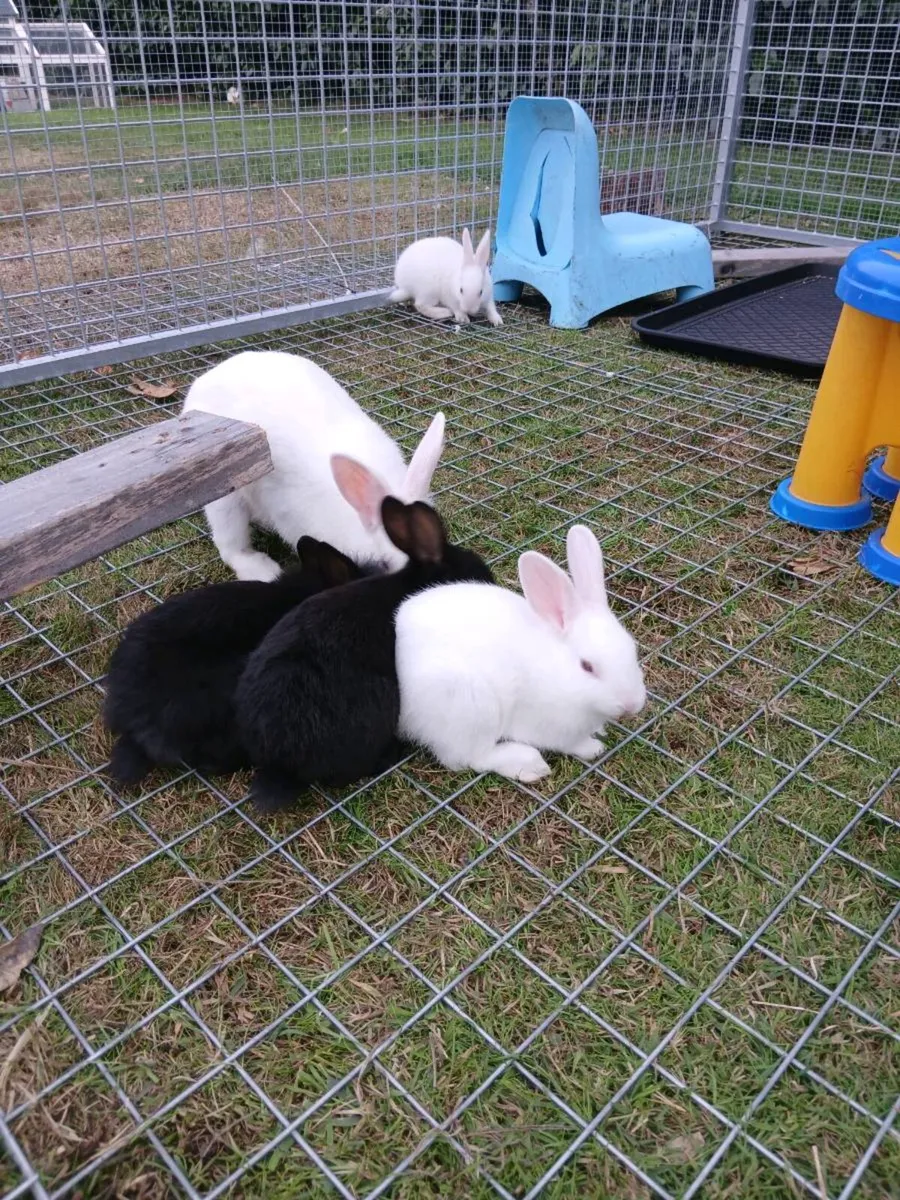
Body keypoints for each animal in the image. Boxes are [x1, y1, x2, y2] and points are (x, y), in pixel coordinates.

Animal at [395, 525, 647, 784]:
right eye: (587, 666)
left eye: (633, 650)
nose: (632, 704)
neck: (560, 673)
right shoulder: (551, 726)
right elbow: (570, 744)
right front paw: (593, 748)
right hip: (471, 708)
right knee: (469, 758)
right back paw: (529, 765)